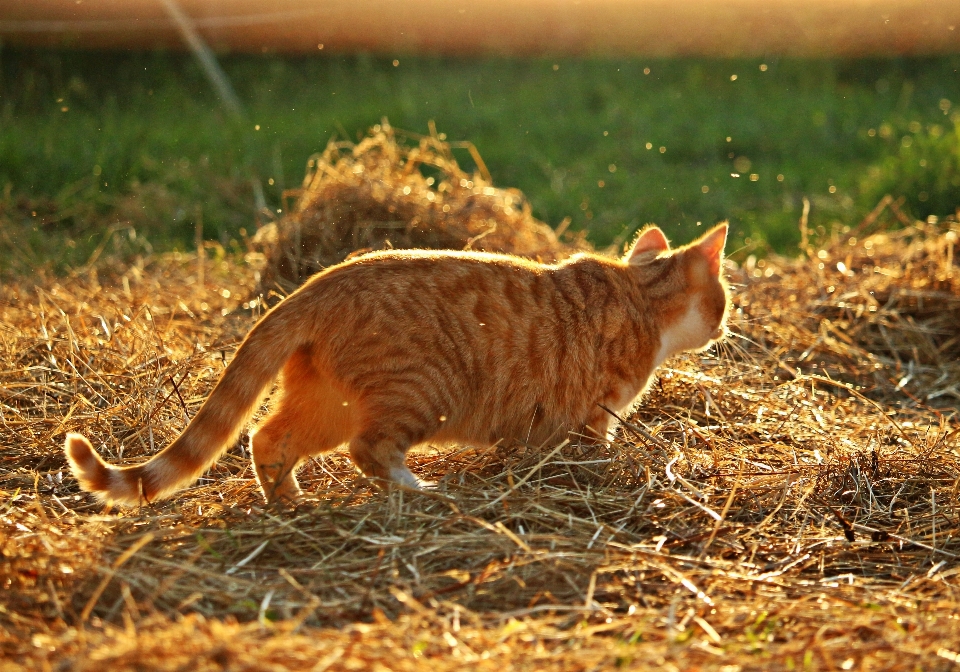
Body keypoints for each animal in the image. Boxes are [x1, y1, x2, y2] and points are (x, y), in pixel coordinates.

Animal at [65, 223, 728, 506]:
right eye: (722, 300)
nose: (725, 328)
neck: (638, 294)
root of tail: (321, 283)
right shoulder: (593, 413)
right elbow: (591, 448)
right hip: (417, 395)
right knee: (367, 450)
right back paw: (418, 488)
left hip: (326, 401)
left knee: (266, 437)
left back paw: (289, 503)